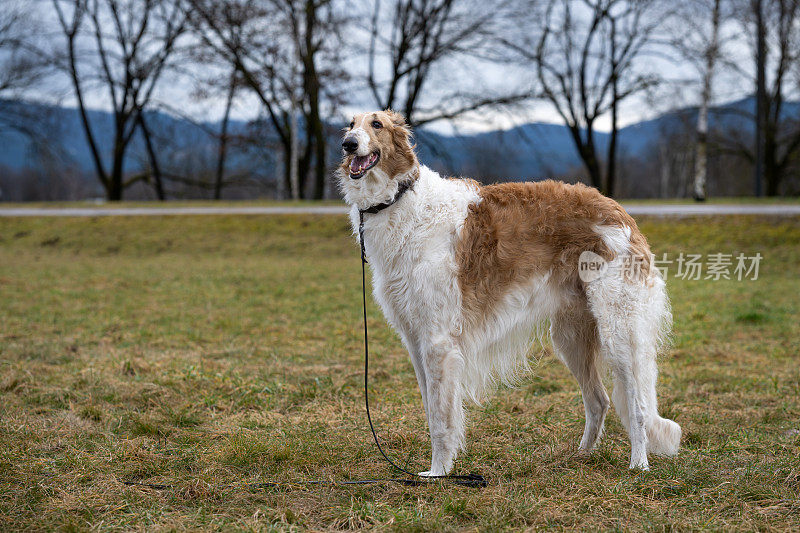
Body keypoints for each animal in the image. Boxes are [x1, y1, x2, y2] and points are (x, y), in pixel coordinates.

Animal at [338, 108, 680, 474]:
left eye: (376, 124)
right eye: (350, 124)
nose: (348, 144)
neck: (402, 201)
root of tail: (621, 213)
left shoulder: (438, 340)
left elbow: (442, 419)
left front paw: (438, 472)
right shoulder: (414, 340)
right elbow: (431, 411)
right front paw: (438, 469)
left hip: (619, 331)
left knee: (637, 405)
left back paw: (639, 464)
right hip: (571, 336)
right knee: (599, 400)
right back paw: (581, 455)